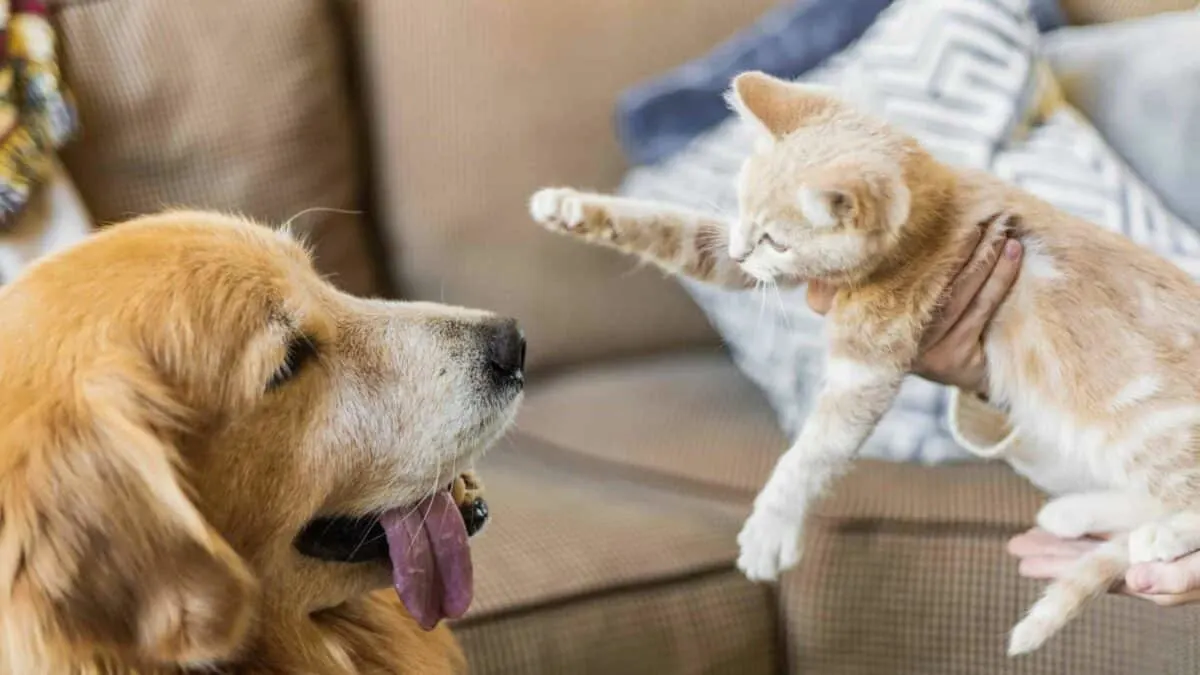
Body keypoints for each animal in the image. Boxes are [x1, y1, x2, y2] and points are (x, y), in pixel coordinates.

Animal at [532, 70, 1200, 653]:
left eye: (775, 239)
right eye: (742, 212)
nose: (746, 248)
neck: (937, 207)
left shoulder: (866, 369)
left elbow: (810, 454)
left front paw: (771, 528)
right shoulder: (736, 263)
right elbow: (676, 232)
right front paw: (568, 206)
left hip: (1143, 427)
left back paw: (1157, 532)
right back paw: (1078, 511)